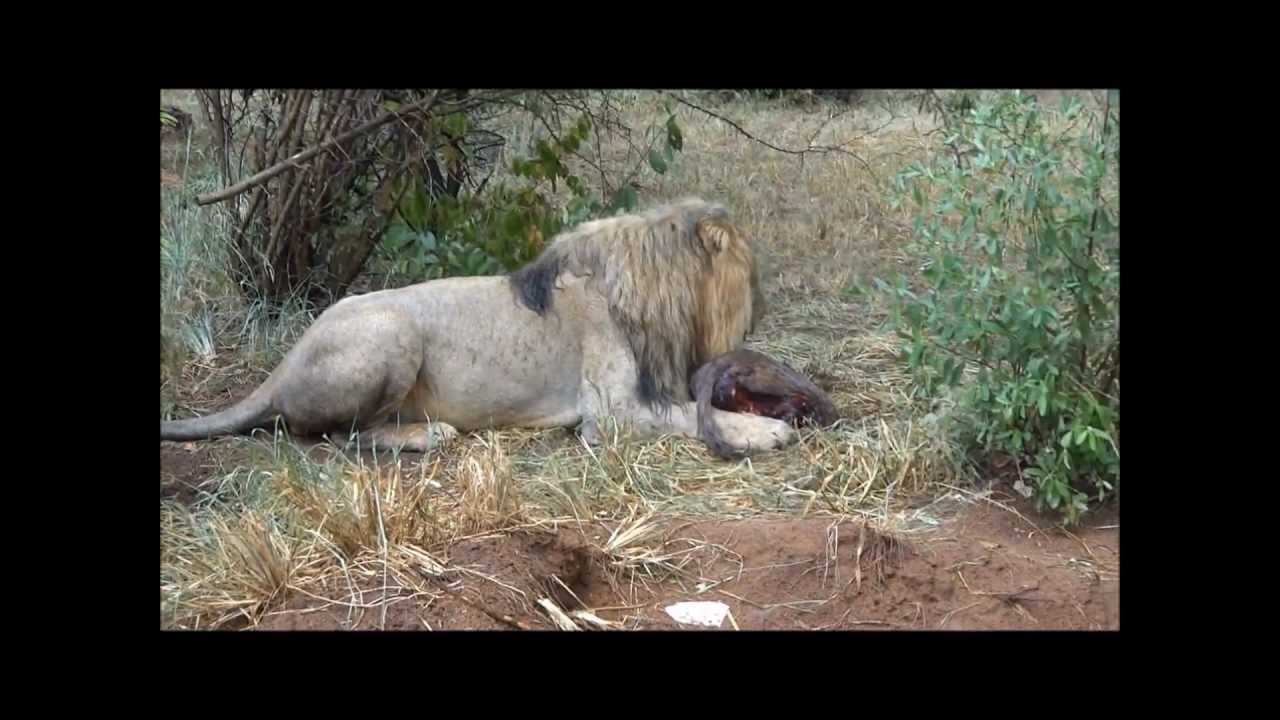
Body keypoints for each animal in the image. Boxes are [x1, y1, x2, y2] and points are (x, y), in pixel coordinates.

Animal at [160, 197, 798, 456]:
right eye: (751, 275)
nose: (764, 311)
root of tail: (283, 364)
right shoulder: (612, 414)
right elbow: (693, 415)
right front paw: (766, 430)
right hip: (392, 332)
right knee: (337, 436)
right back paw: (427, 436)